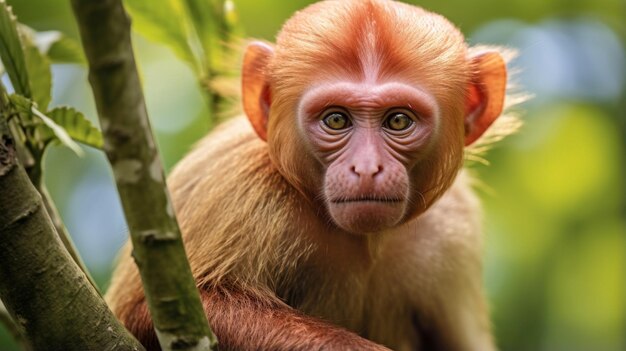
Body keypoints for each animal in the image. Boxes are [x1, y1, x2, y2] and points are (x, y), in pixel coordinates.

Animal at [105, 1, 516, 350]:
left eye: (399, 120)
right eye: (336, 120)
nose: (367, 168)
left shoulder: (453, 229)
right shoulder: (237, 185)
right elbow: (147, 313)